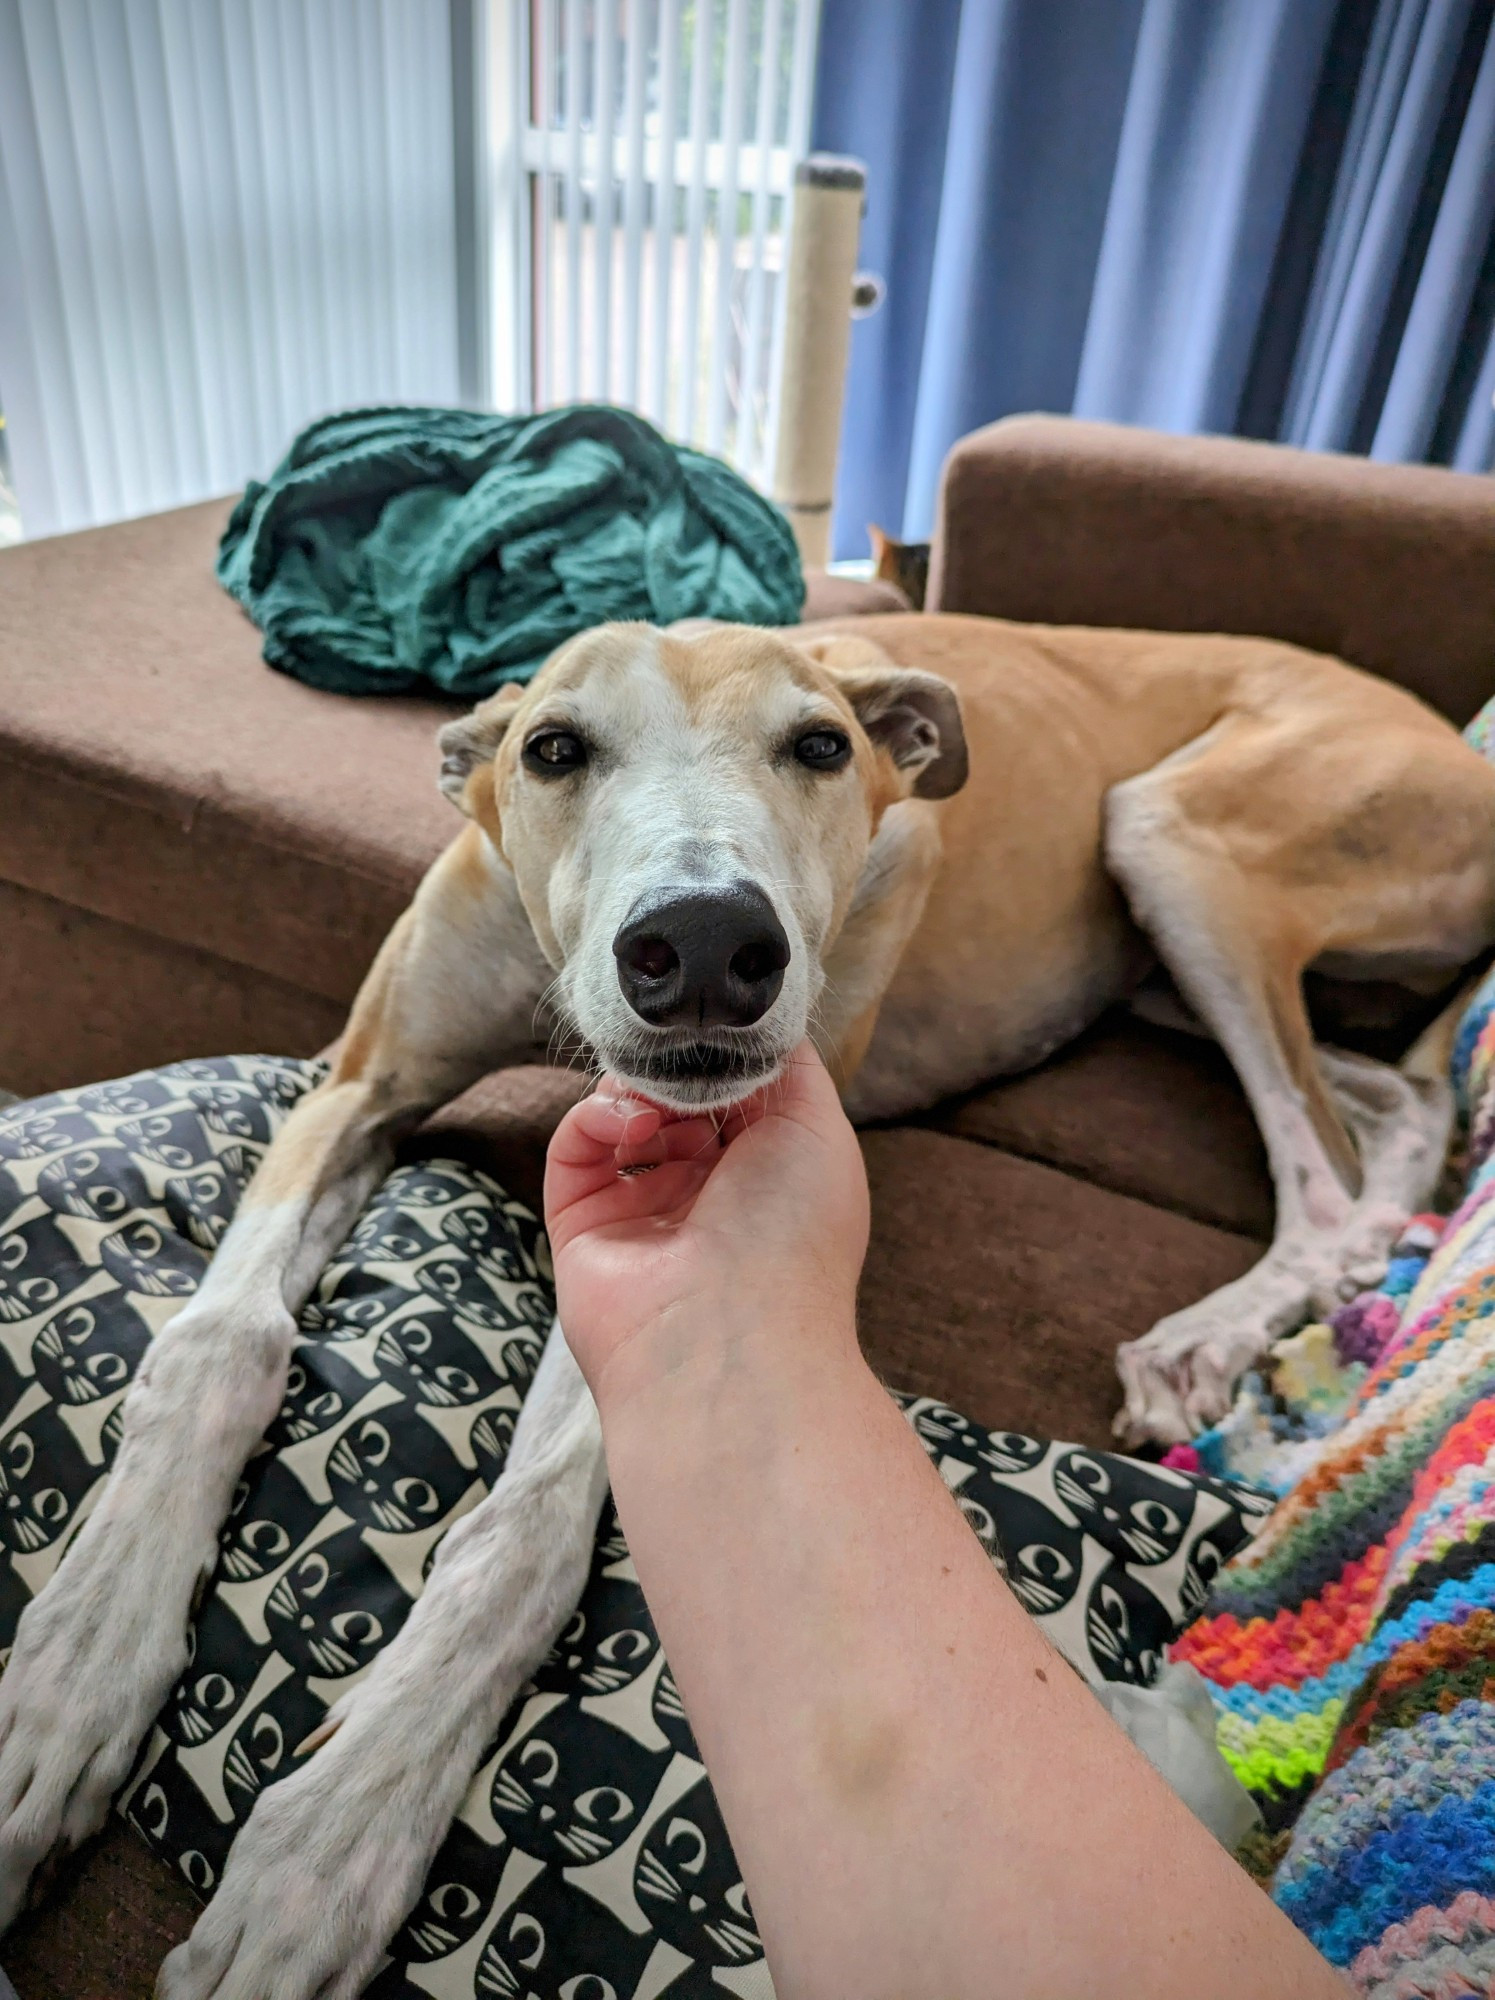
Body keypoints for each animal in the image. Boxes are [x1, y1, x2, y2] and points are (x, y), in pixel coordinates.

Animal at [2, 612, 1495, 2000]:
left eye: (820, 746)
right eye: (553, 749)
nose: (709, 945)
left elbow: (523, 1534)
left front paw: (331, 1842)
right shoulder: (355, 1085)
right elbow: (219, 1336)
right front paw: (69, 1678)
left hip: (1185, 831)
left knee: (1326, 1166)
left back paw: (1222, 1331)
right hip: (1158, 950)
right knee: (1398, 1104)